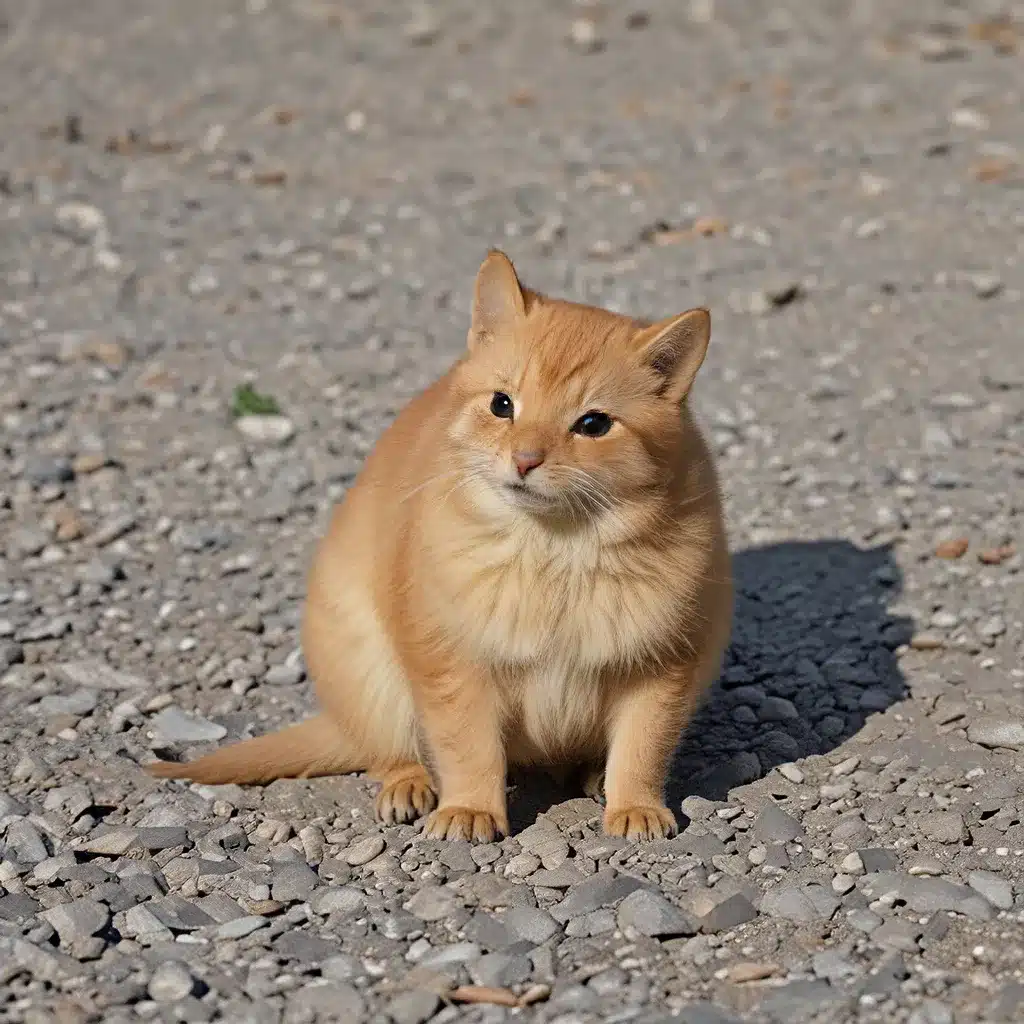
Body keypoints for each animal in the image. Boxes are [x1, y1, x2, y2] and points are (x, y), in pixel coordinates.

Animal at [148, 247, 733, 839]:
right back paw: (408, 785)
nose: (524, 460)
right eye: (502, 404)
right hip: (370, 676)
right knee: (387, 751)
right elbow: (468, 747)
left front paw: (636, 807)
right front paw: (470, 809)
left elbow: (642, 748)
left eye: (593, 423)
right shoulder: (451, 664)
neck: (552, 552)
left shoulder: (666, 667)